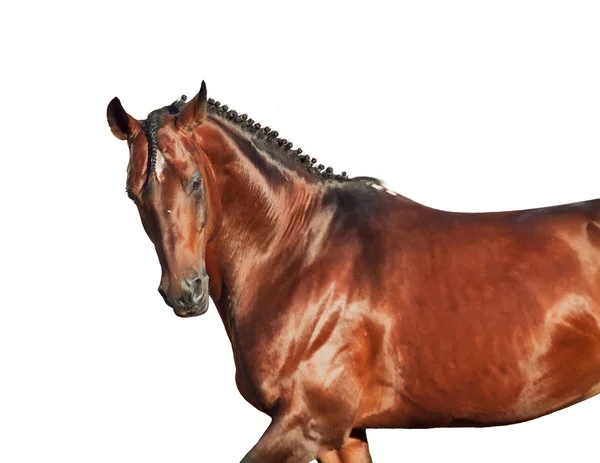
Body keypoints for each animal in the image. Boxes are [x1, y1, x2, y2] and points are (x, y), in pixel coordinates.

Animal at [108, 81, 600, 462]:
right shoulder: (343, 433)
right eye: (133, 193)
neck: (298, 254)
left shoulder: (309, 423)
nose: (185, 293)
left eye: (194, 181)